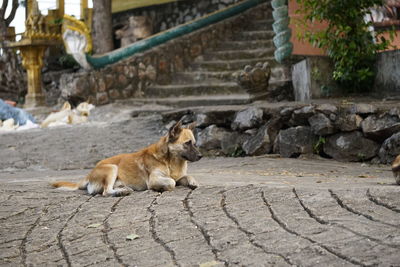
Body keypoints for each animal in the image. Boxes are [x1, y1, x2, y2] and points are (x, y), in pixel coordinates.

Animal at [52, 120, 203, 197]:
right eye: (187, 143)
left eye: (195, 143)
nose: (201, 156)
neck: (170, 161)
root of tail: (89, 175)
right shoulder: (154, 179)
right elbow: (171, 182)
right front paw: (159, 189)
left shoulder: (179, 176)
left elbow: (188, 177)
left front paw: (192, 182)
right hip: (112, 168)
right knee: (106, 192)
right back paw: (121, 192)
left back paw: (122, 188)